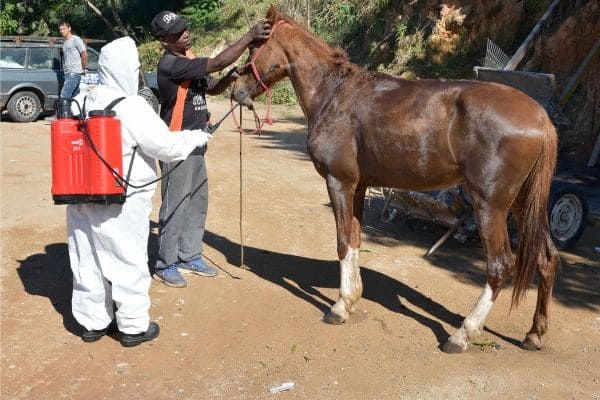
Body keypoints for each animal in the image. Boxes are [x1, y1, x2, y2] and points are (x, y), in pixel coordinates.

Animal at [232, 4, 560, 352]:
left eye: (255, 45)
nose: (236, 90)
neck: (333, 93)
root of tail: (540, 117)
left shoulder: (339, 182)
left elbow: (342, 242)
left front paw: (338, 308)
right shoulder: (358, 187)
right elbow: (354, 240)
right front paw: (350, 299)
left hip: (490, 205)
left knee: (500, 265)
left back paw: (462, 335)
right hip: (521, 202)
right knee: (546, 258)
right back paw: (534, 334)